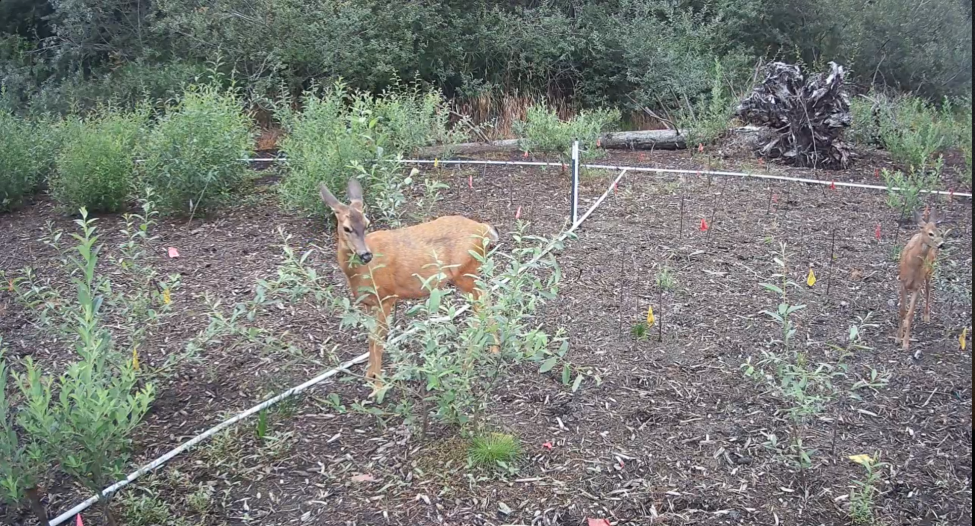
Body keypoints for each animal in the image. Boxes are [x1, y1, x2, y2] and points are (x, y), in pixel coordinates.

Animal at [320, 180, 500, 388]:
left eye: (367, 224)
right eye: (347, 228)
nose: (366, 255)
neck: (360, 273)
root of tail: (484, 229)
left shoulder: (387, 296)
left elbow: (378, 340)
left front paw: (378, 386)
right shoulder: (368, 303)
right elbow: (370, 338)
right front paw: (369, 376)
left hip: (465, 271)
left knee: (483, 301)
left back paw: (478, 355)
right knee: (483, 300)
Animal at [900, 208, 944, 352]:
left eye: (939, 232)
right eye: (930, 233)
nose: (941, 244)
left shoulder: (917, 287)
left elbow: (910, 314)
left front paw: (905, 343)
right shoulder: (902, 283)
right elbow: (902, 311)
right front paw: (898, 338)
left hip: (929, 271)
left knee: (928, 290)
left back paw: (926, 316)